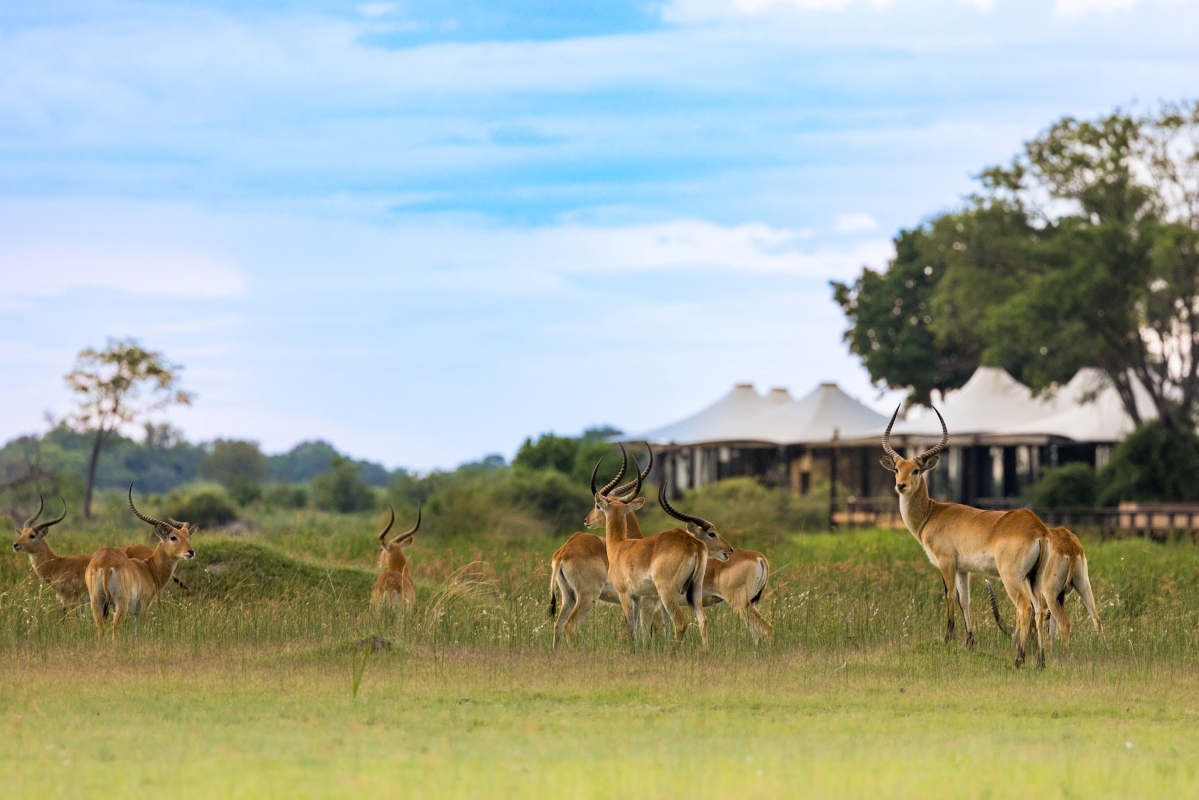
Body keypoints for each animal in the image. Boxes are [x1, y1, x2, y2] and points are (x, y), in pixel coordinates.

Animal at [84, 486, 195, 638]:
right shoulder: (142, 608)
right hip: (120, 604)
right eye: (173, 537)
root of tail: (105, 562)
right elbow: (138, 634)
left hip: (97, 602)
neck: (148, 568)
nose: (191, 551)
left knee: (100, 630)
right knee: (116, 629)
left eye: (187, 536)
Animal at [592, 463, 733, 647]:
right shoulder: (640, 598)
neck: (620, 547)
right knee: (702, 620)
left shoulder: (628, 596)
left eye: (598, 505)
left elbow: (634, 629)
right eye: (711, 533)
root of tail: (693, 544)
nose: (729, 550)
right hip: (695, 591)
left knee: (680, 623)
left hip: (666, 592)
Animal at [658, 492, 773, 644]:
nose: (729, 550)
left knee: (766, 628)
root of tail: (759, 557)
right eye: (711, 533)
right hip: (749, 605)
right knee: (755, 633)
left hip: (741, 604)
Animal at [880, 408, 1047, 667]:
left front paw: (947, 639)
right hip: (1034, 577)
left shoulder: (946, 562)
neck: (932, 513)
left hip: (1012, 577)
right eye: (897, 469)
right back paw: (1040, 662)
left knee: (1025, 607)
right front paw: (969, 642)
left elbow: (949, 595)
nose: (901, 486)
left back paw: (1019, 659)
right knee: (1040, 609)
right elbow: (964, 600)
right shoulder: (963, 569)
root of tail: (1036, 527)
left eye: (916, 470)